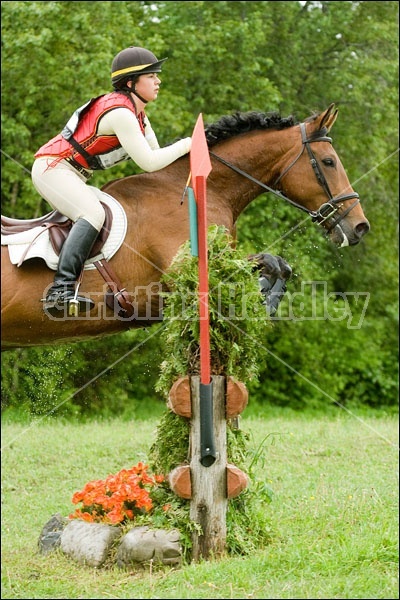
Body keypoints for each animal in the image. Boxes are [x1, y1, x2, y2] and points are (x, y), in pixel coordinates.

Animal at [0, 102, 368, 346]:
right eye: (329, 162)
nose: (359, 226)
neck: (204, 191)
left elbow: (280, 265)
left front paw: (267, 298)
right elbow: (272, 263)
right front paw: (266, 298)